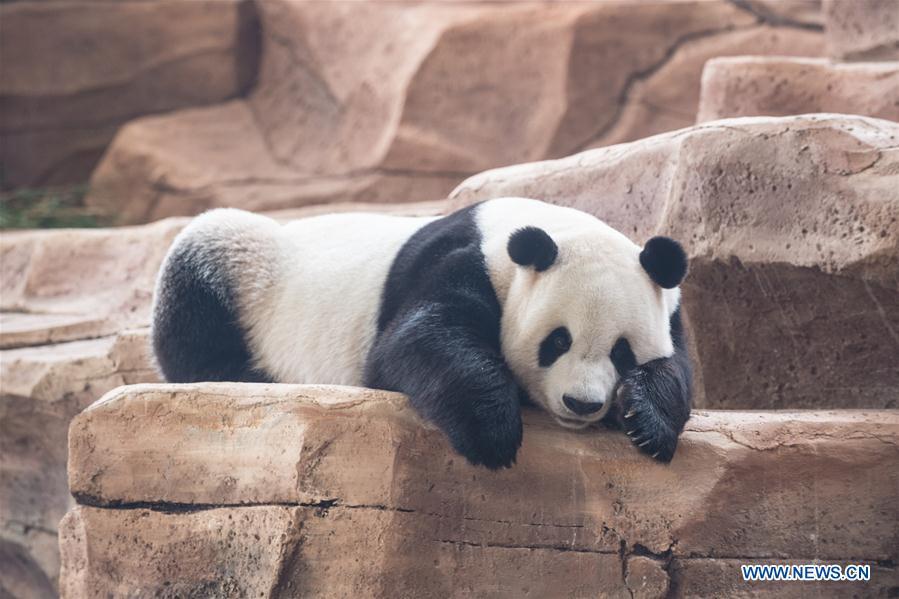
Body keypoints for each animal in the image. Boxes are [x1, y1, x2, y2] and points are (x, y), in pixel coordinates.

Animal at [152, 197, 692, 469]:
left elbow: (679, 370)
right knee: (203, 261)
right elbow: (417, 340)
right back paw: (242, 372)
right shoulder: (460, 260)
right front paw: (492, 431)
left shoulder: (669, 308)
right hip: (247, 266)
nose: (582, 404)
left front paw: (647, 424)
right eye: (557, 341)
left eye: (622, 353)